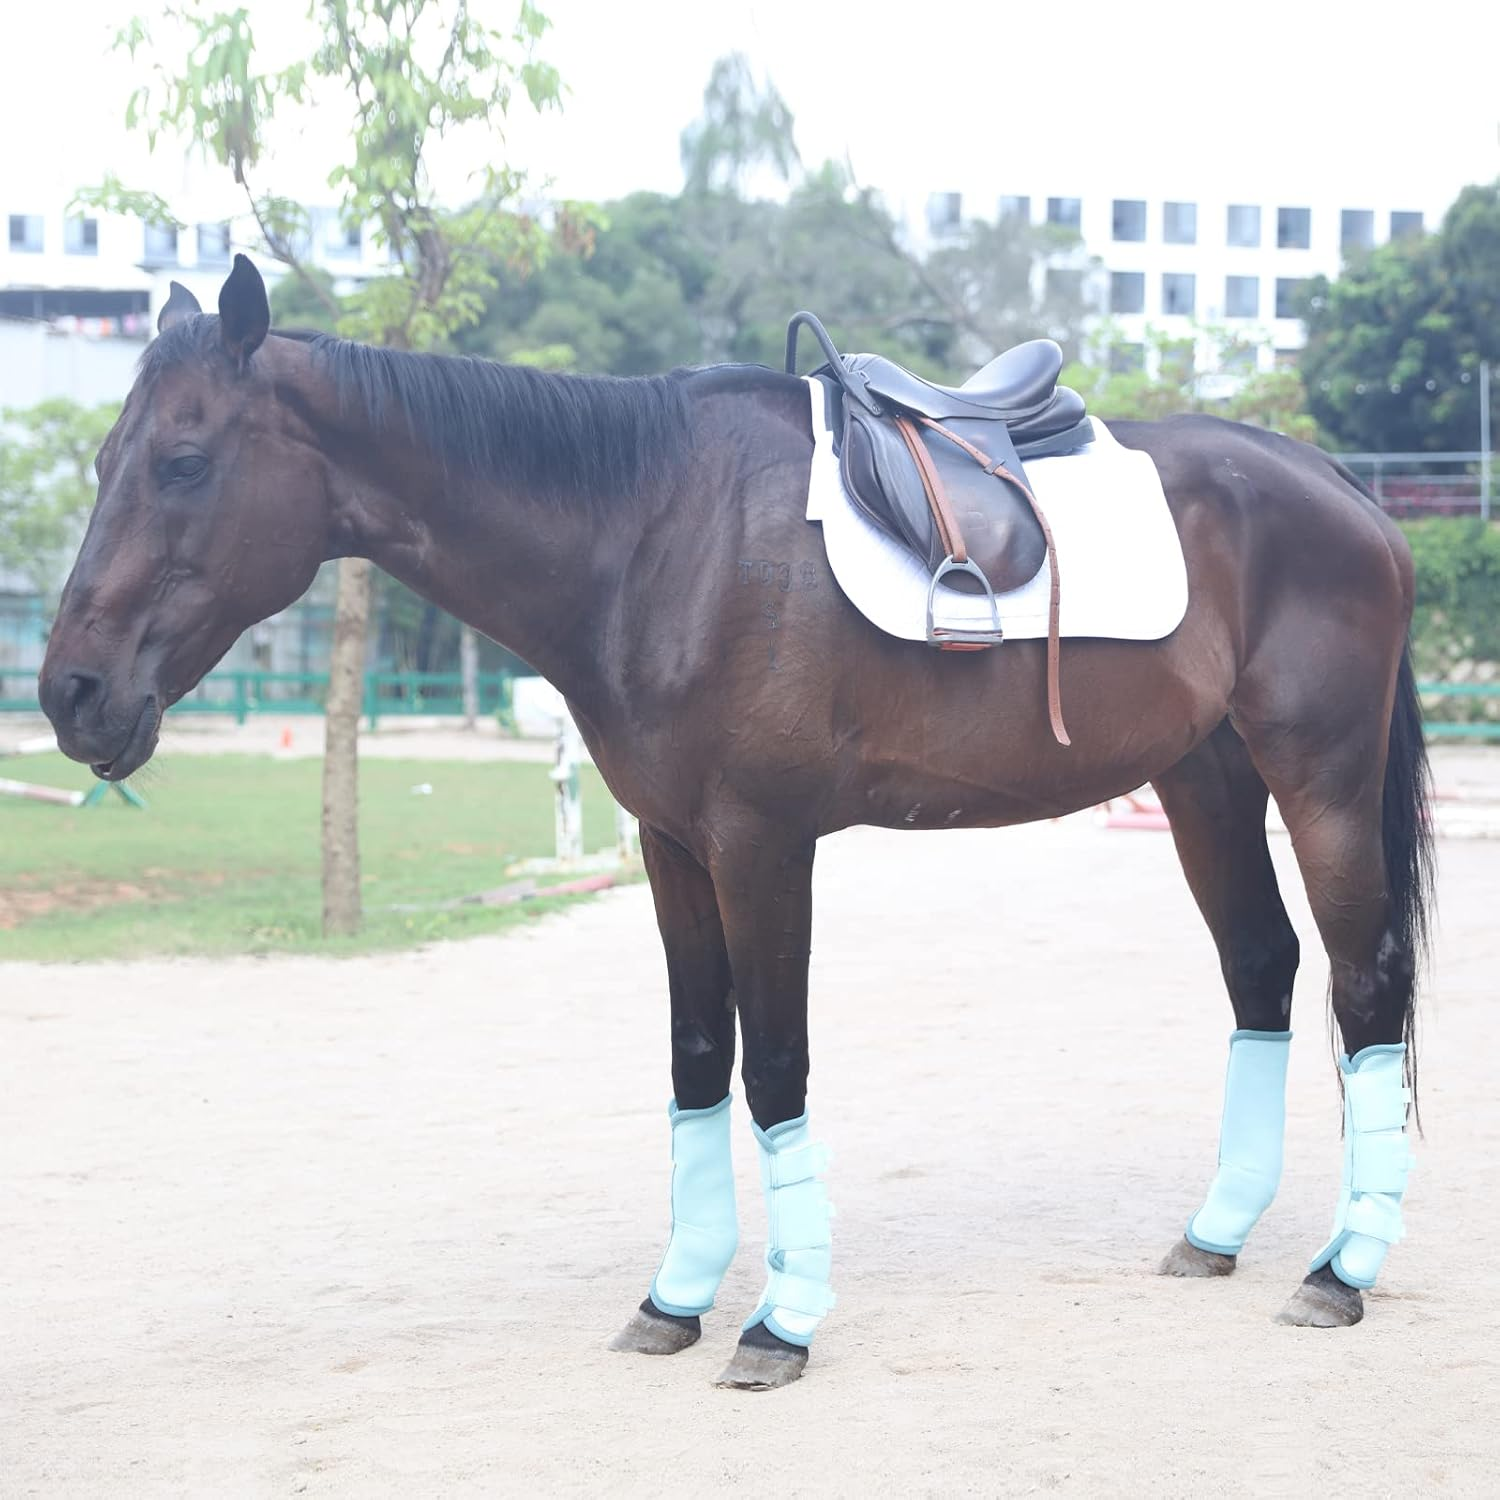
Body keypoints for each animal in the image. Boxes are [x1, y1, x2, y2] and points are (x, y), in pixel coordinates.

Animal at [38, 256, 1432, 1390]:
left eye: (182, 462)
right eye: (102, 463)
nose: (71, 695)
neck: (652, 535)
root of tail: (1341, 490)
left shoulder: (764, 845)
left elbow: (774, 1069)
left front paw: (780, 1322)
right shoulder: (672, 847)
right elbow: (698, 1059)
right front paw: (677, 1298)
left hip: (1319, 779)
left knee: (1364, 984)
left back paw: (1341, 1270)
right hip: (1206, 785)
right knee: (1262, 969)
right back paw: (1219, 1234)